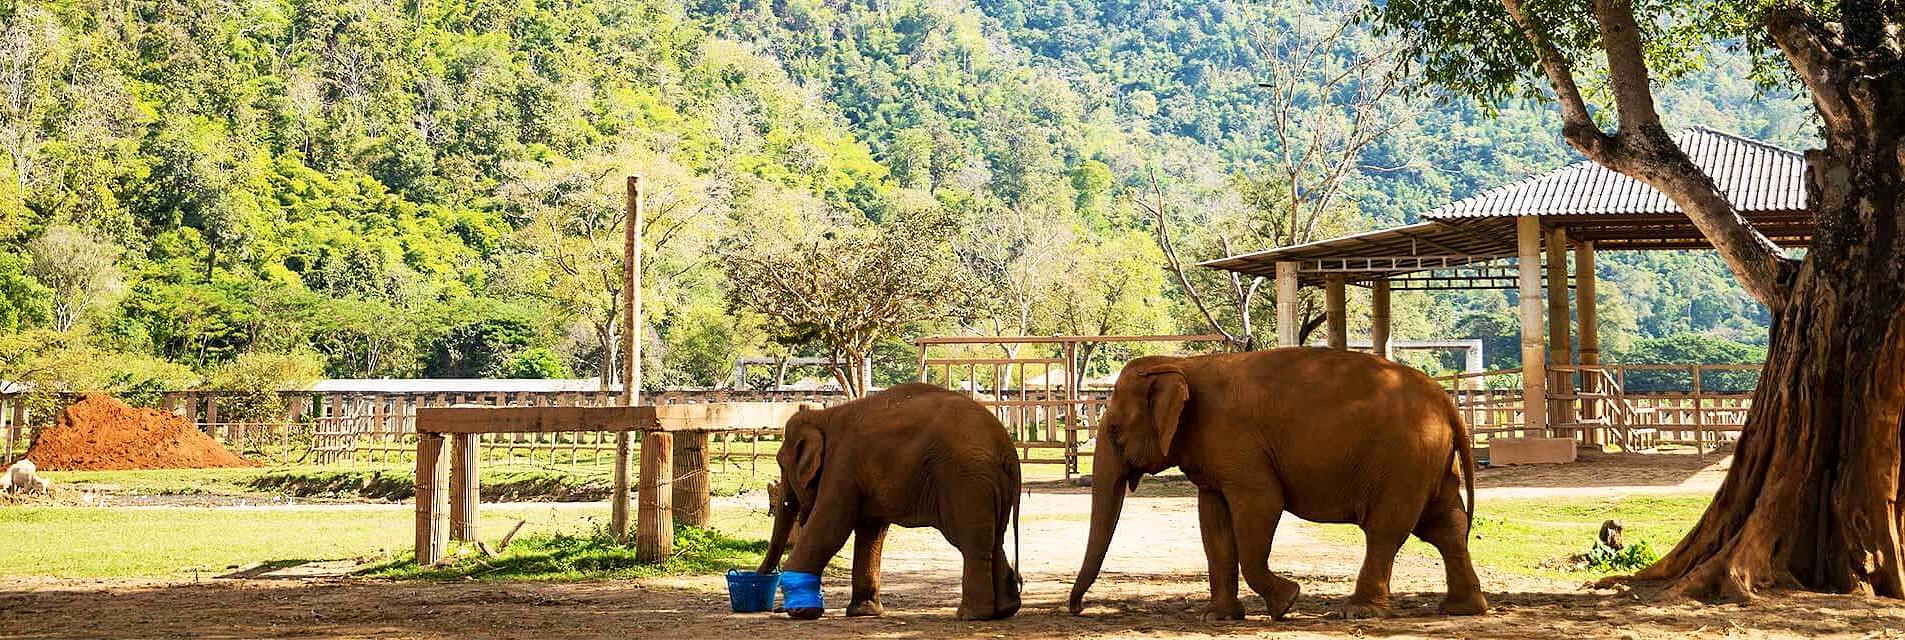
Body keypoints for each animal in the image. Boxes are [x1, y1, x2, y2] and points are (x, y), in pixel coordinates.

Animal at [756, 382, 1022, 620]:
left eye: (781, 464)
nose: (772, 607)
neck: (823, 415)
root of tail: (1007, 447)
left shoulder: (842, 465)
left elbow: (830, 530)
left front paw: (801, 612)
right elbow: (870, 533)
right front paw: (863, 613)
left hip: (966, 481)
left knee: (971, 543)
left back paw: (971, 615)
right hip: (990, 484)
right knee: (995, 541)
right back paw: (1004, 610)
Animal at [1068, 348, 1486, 621]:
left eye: (1115, 431)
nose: (1077, 609)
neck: (1184, 363)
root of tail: (1446, 402)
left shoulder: (1240, 444)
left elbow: (1262, 505)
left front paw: (1286, 602)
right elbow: (1213, 521)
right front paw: (1217, 618)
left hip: (1404, 460)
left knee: (1386, 530)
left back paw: (1359, 612)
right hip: (1429, 461)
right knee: (1446, 526)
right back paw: (1460, 609)